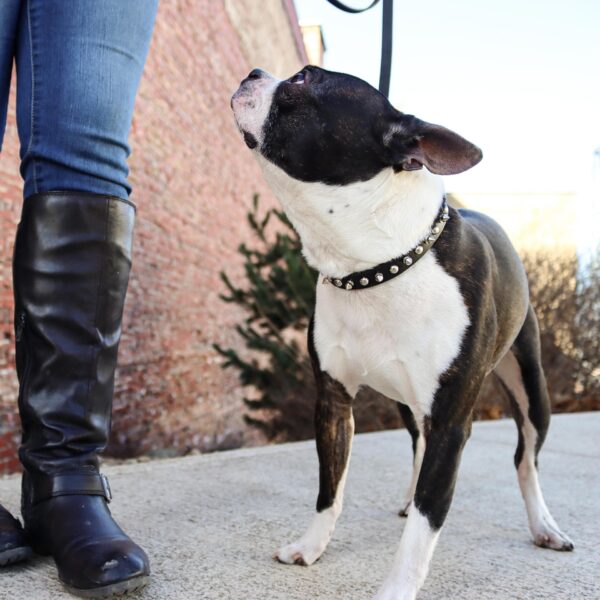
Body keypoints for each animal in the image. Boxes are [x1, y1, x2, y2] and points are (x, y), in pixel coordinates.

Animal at [230, 67, 572, 600]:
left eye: (303, 81)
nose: (254, 73)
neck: (375, 267)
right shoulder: (333, 402)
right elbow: (330, 489)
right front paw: (311, 546)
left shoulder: (452, 422)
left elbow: (426, 526)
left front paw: (396, 587)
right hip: (409, 403)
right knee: (417, 444)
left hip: (531, 387)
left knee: (526, 459)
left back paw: (544, 525)